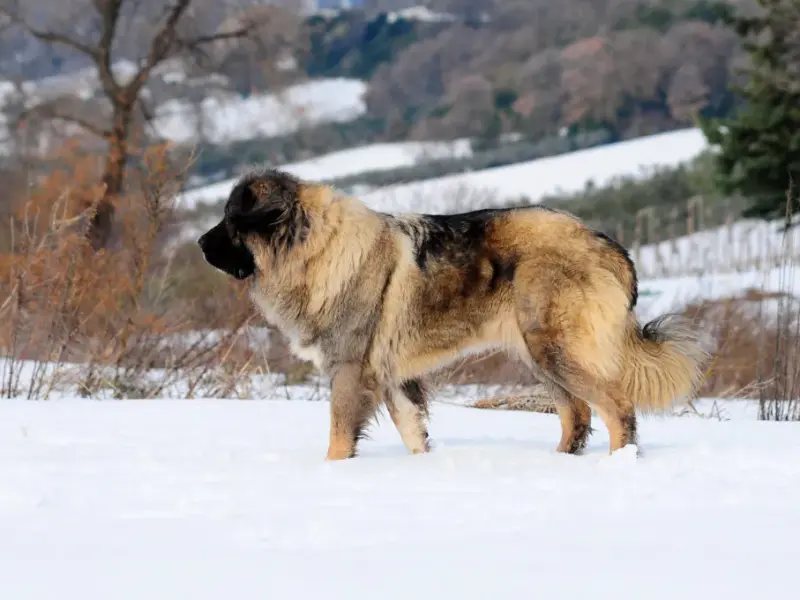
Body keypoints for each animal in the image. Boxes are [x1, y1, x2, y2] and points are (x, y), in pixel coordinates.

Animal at [198, 168, 708, 460]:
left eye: (231, 221)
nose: (200, 243)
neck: (315, 248)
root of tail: (609, 246)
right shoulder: (392, 377)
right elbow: (412, 430)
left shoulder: (349, 370)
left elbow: (339, 437)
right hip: (538, 354)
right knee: (578, 413)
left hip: (556, 348)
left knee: (616, 408)